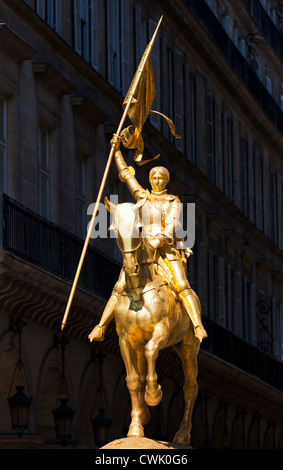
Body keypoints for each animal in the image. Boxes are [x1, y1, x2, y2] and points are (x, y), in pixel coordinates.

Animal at [105, 197, 201, 444]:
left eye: (139, 228)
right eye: (115, 230)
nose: (131, 267)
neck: (138, 290)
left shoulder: (161, 330)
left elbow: (151, 351)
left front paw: (154, 394)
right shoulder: (125, 340)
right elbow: (132, 380)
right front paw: (135, 427)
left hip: (188, 348)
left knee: (190, 387)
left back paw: (182, 435)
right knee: (141, 373)